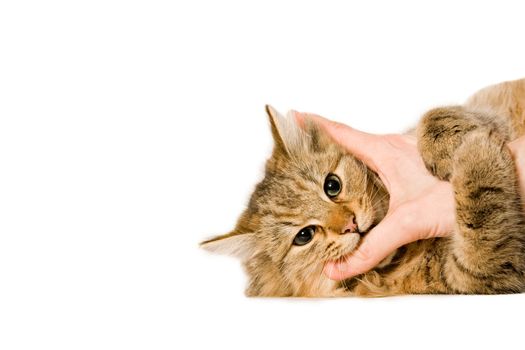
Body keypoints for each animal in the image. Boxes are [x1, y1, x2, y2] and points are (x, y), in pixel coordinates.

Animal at [199, 78, 524, 296]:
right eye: (304, 236)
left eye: (332, 185)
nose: (351, 224)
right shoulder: (479, 275)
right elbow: (481, 235)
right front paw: (477, 151)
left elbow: (436, 116)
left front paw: (452, 142)